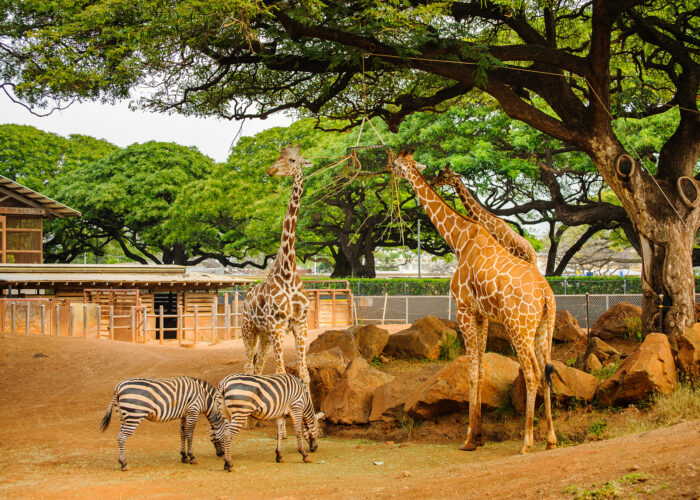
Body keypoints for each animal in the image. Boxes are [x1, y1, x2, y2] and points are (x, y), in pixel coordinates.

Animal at [241, 144, 311, 387]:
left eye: (292, 160)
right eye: (278, 157)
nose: (270, 170)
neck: (288, 272)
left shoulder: (300, 324)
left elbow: (304, 374)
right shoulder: (278, 326)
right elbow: (281, 373)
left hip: (264, 335)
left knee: (258, 366)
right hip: (248, 330)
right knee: (248, 367)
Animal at [388, 151, 556, 454]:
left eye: (398, 164)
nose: (388, 167)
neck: (459, 240)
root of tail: (546, 294)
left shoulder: (464, 309)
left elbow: (471, 372)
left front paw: (468, 439)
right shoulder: (483, 315)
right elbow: (480, 369)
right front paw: (478, 436)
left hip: (519, 327)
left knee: (532, 372)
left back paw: (526, 442)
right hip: (543, 328)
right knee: (547, 369)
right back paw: (550, 438)